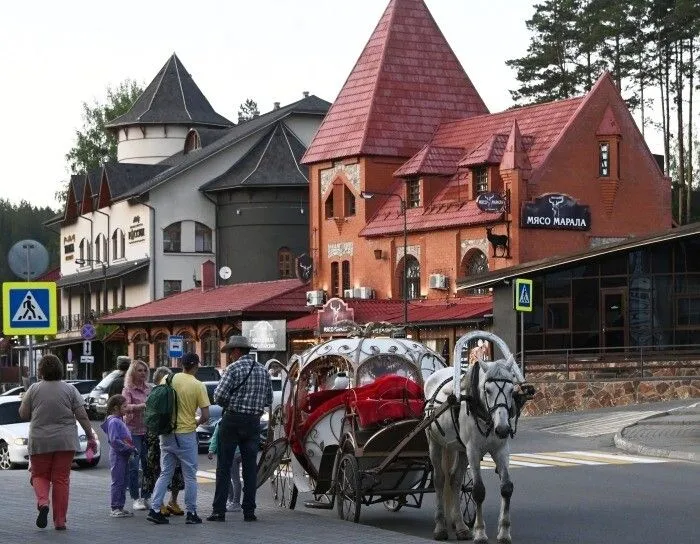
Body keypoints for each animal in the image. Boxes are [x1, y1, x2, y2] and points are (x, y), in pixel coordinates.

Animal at [424, 332, 524, 544]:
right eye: (488, 390)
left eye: (511, 390)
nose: (503, 429)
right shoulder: (473, 450)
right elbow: (478, 491)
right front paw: (480, 533)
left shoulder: (501, 449)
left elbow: (506, 487)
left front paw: (504, 532)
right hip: (435, 443)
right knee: (439, 480)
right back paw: (440, 527)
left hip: (459, 449)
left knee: (454, 480)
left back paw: (461, 527)